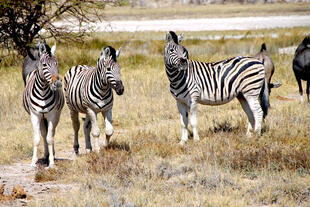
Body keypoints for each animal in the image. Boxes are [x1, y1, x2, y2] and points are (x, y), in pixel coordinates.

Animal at [22, 39, 64, 168]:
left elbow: (50, 138)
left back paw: (50, 155)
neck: (43, 93)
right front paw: (33, 162)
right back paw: (45, 156)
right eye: (45, 65)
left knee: (50, 133)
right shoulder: (35, 115)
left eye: (57, 64)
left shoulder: (52, 115)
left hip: (56, 115)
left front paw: (51, 162)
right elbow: (37, 138)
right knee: (43, 133)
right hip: (41, 117)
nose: (58, 84)